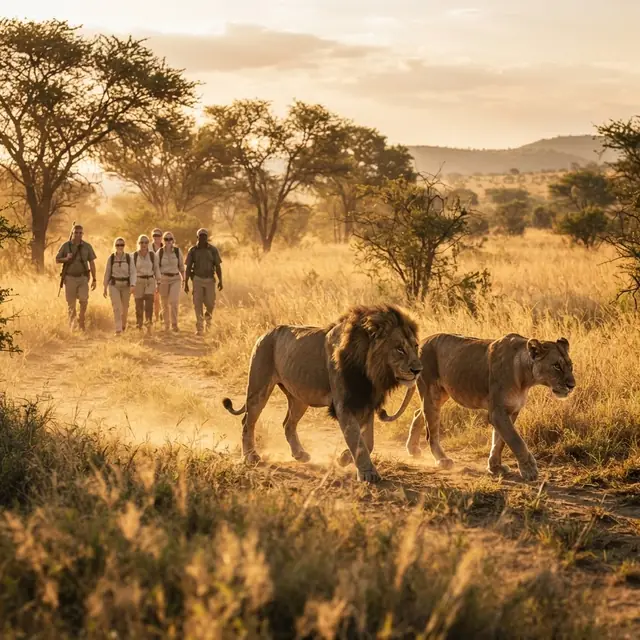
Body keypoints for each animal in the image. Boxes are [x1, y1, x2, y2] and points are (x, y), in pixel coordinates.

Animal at [222, 304, 422, 482]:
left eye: (415, 346)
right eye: (399, 348)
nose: (418, 370)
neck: (371, 372)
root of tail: (266, 333)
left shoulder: (365, 401)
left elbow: (368, 441)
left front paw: (344, 457)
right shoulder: (344, 404)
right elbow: (357, 439)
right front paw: (367, 473)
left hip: (300, 397)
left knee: (288, 424)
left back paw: (300, 454)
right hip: (259, 388)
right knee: (248, 421)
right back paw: (250, 457)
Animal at [380, 333, 576, 481]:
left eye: (570, 366)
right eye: (556, 366)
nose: (572, 385)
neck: (526, 378)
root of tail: (421, 342)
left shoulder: (511, 411)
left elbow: (500, 441)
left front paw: (495, 467)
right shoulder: (497, 412)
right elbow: (515, 440)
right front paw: (529, 470)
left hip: (440, 395)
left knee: (418, 413)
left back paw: (412, 449)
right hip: (432, 393)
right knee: (431, 432)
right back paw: (442, 460)